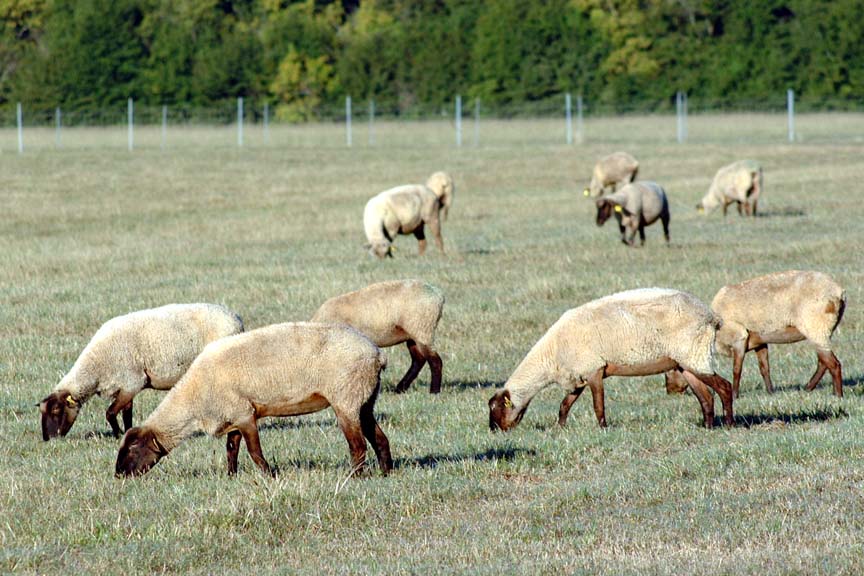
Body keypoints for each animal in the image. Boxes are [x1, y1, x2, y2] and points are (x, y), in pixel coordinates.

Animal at [39, 303, 243, 441]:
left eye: (56, 410)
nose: (48, 439)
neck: (96, 366)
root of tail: (236, 318)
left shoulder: (132, 382)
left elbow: (110, 413)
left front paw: (117, 434)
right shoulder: (125, 387)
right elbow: (126, 413)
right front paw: (125, 432)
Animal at [115, 322, 393, 478]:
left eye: (131, 448)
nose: (118, 475)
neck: (194, 400)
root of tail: (376, 355)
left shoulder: (244, 414)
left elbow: (254, 451)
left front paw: (270, 475)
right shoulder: (233, 415)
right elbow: (231, 448)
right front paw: (231, 476)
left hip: (345, 398)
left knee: (358, 445)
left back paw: (355, 477)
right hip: (364, 399)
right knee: (380, 438)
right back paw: (386, 472)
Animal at [312, 280, 445, 394]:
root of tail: (438, 295)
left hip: (422, 329)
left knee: (435, 360)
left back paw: (434, 391)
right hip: (412, 335)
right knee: (418, 360)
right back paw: (400, 389)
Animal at [488, 288, 734, 432]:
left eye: (495, 408)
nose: (493, 430)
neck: (550, 355)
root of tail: (712, 317)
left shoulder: (594, 368)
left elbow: (598, 405)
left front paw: (602, 428)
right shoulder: (579, 374)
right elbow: (564, 405)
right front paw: (560, 428)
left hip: (695, 354)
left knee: (725, 387)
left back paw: (729, 424)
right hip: (686, 362)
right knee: (706, 397)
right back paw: (708, 427)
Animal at [711, 270, 846, 398]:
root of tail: (839, 292)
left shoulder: (739, 338)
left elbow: (736, 370)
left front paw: (734, 396)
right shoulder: (760, 342)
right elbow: (764, 368)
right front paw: (770, 392)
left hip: (816, 329)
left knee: (834, 364)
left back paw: (838, 395)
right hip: (822, 331)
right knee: (823, 363)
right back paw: (810, 389)